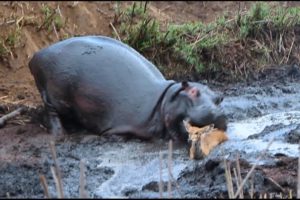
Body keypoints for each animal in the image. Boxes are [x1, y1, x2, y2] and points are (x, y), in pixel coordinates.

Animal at [28, 36, 227, 142]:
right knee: (51, 110)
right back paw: (61, 133)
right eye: (193, 92)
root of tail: (37, 56)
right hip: (56, 94)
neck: (164, 99)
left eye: (219, 98)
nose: (217, 113)